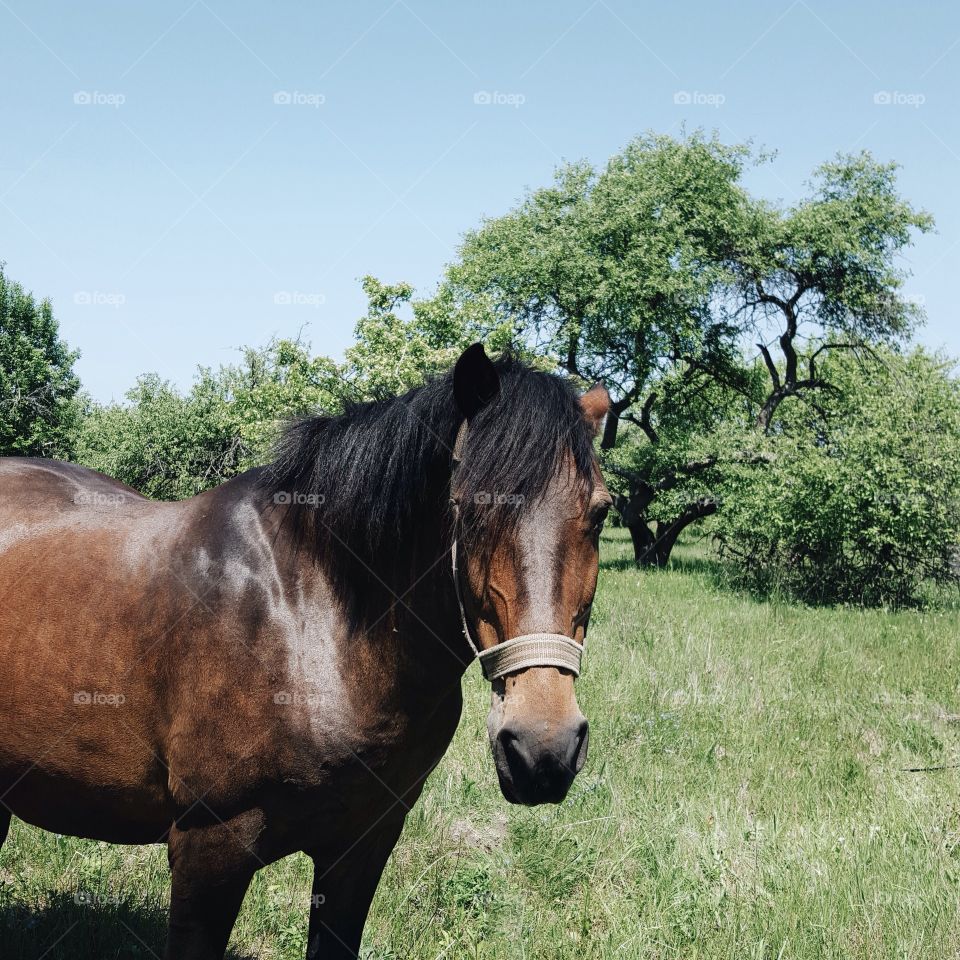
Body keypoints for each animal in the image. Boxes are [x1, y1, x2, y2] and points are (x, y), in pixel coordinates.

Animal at [0, 344, 612, 960]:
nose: (543, 749)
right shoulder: (209, 848)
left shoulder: (363, 844)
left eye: (601, 513)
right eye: (467, 508)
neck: (308, 623)